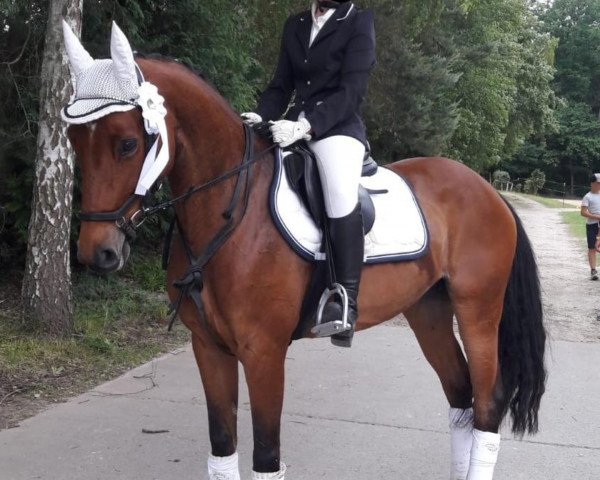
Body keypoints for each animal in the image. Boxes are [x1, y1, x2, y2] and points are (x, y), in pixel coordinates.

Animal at [64, 27, 544, 480]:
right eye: (73, 140)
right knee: (460, 395)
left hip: (478, 312)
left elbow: (265, 457)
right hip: (428, 310)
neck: (231, 212)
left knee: (487, 403)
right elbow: (222, 448)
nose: (97, 252)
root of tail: (488, 190)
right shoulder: (209, 348)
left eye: (127, 143)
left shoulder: (263, 352)